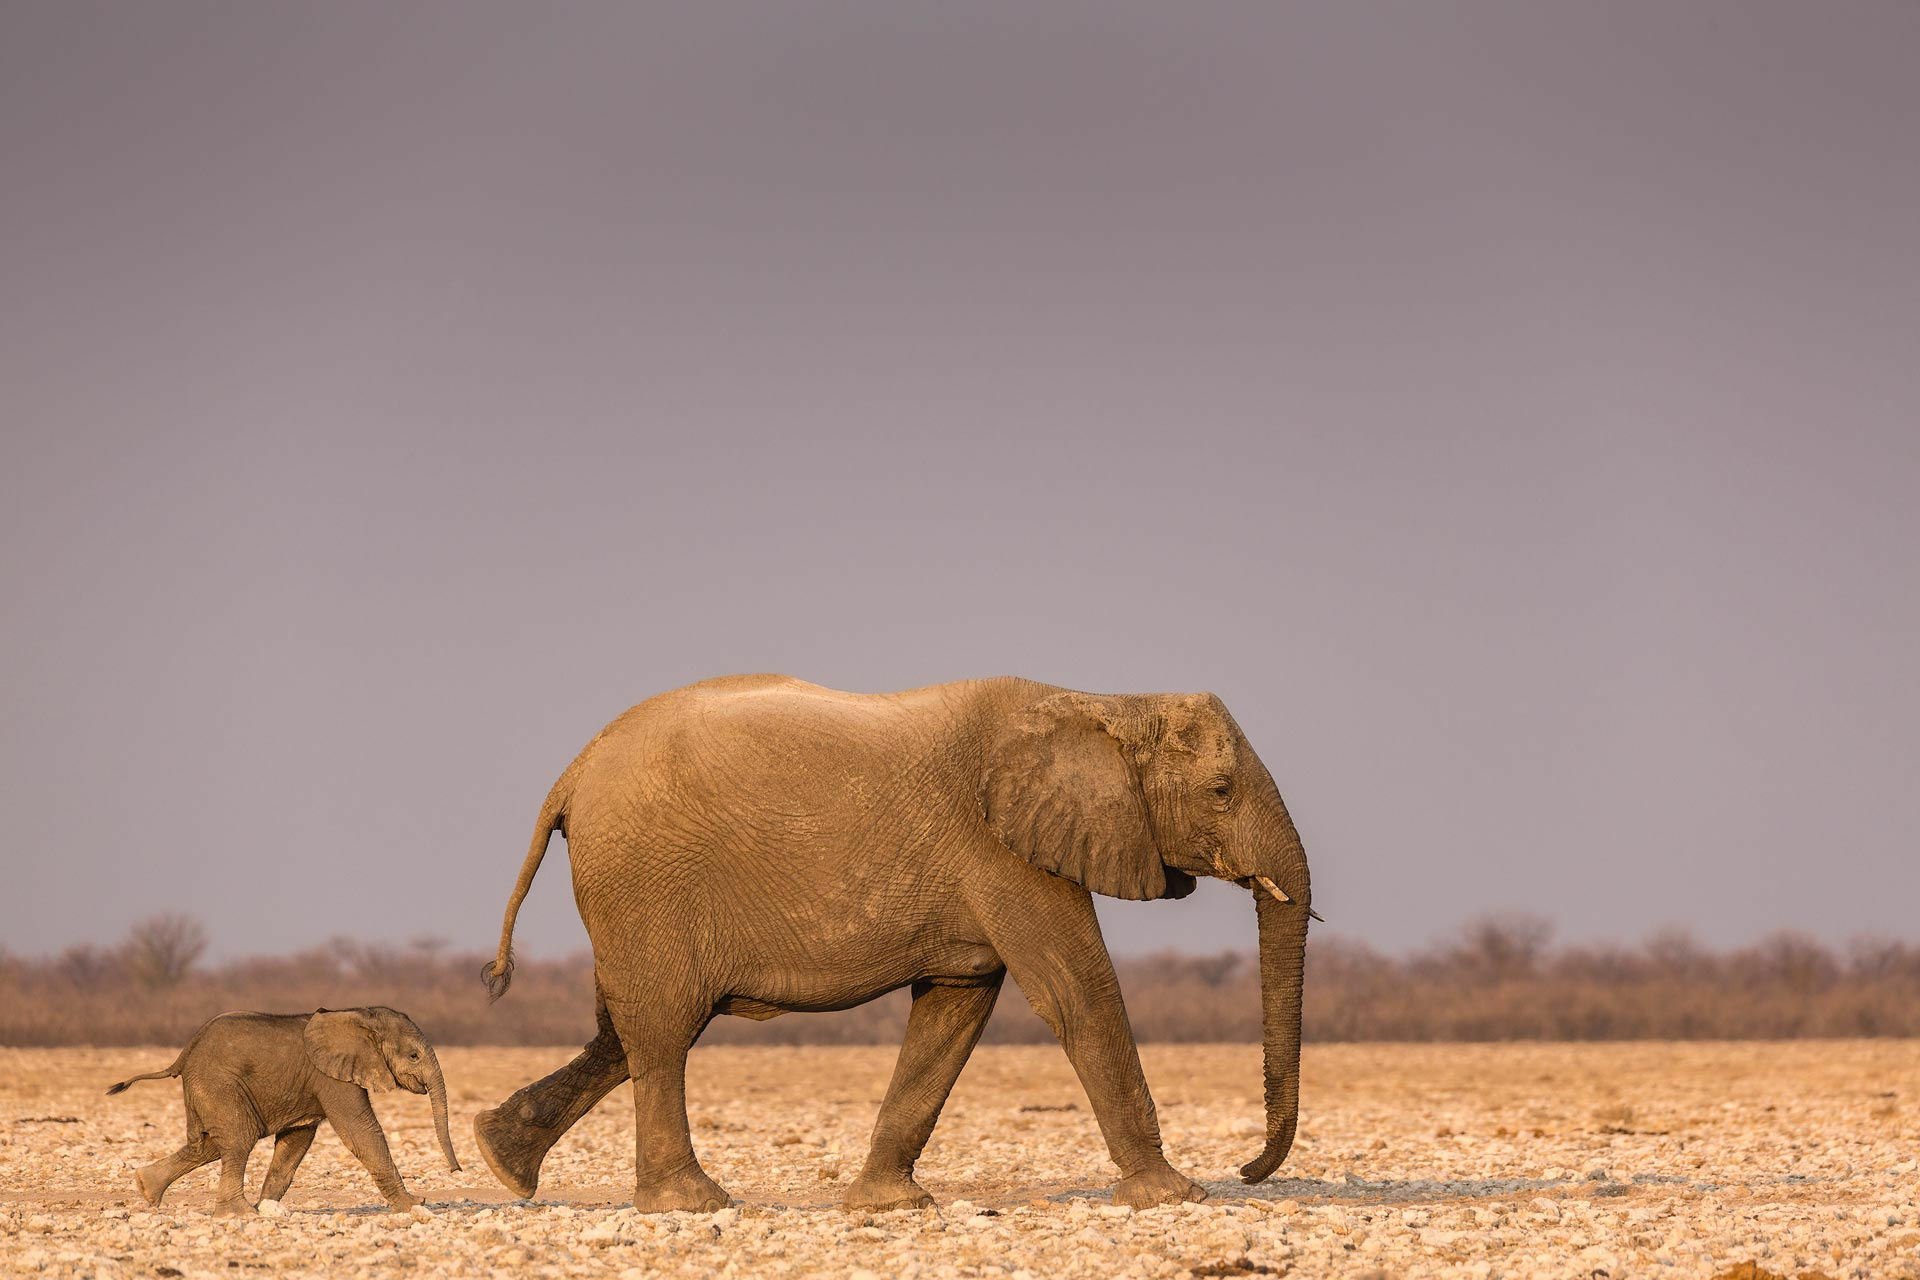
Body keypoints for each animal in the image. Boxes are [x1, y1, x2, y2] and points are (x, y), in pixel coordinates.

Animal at [107, 1007, 460, 1215]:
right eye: (413, 1056)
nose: (456, 1171)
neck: (360, 1015)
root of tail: (182, 1055)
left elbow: (296, 1142)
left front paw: (268, 1208)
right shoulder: (331, 1078)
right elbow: (361, 1130)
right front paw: (414, 1206)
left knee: (209, 1144)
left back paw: (146, 1189)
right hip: (218, 1082)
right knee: (238, 1138)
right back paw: (240, 1214)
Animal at [473, 674, 1313, 1213]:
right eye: (1221, 793)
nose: (1248, 1170)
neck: (1107, 702)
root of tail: (572, 774)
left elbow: (955, 1011)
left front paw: (888, 1207)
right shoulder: (1007, 852)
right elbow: (1078, 992)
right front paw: (1176, 1197)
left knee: (627, 1030)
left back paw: (503, 1163)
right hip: (644, 883)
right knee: (662, 1030)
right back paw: (692, 1205)